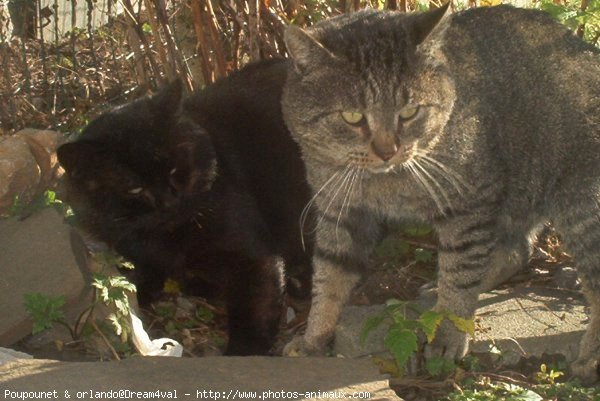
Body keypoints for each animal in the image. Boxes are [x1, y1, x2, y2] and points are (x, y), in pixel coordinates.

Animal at [57, 58, 314, 354]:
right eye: (134, 188)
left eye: (174, 169)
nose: (169, 202)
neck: (167, 239)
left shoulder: (253, 257)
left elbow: (254, 307)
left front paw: (242, 350)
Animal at [282, 3, 600, 382]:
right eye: (352, 116)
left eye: (409, 111)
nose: (387, 151)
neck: (384, 182)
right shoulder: (338, 212)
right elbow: (328, 279)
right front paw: (313, 338)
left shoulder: (469, 206)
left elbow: (459, 275)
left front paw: (448, 333)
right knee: (517, 251)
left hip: (580, 206)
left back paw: (591, 357)